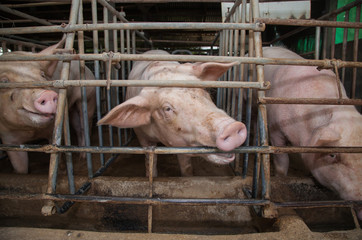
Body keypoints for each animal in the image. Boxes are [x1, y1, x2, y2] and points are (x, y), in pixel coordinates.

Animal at [0, 37, 96, 173]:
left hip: (88, 97)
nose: (47, 94)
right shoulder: (7, 136)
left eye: (42, 75)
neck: (31, 131)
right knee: (77, 126)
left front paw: (60, 168)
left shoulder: (53, 127)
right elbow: (20, 166)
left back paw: (82, 156)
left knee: (85, 124)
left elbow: (55, 149)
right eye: (4, 81)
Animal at [97, 49, 247, 176]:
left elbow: (186, 165)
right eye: (167, 108)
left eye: (203, 90)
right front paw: (152, 176)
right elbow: (150, 161)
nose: (232, 127)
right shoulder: (141, 135)